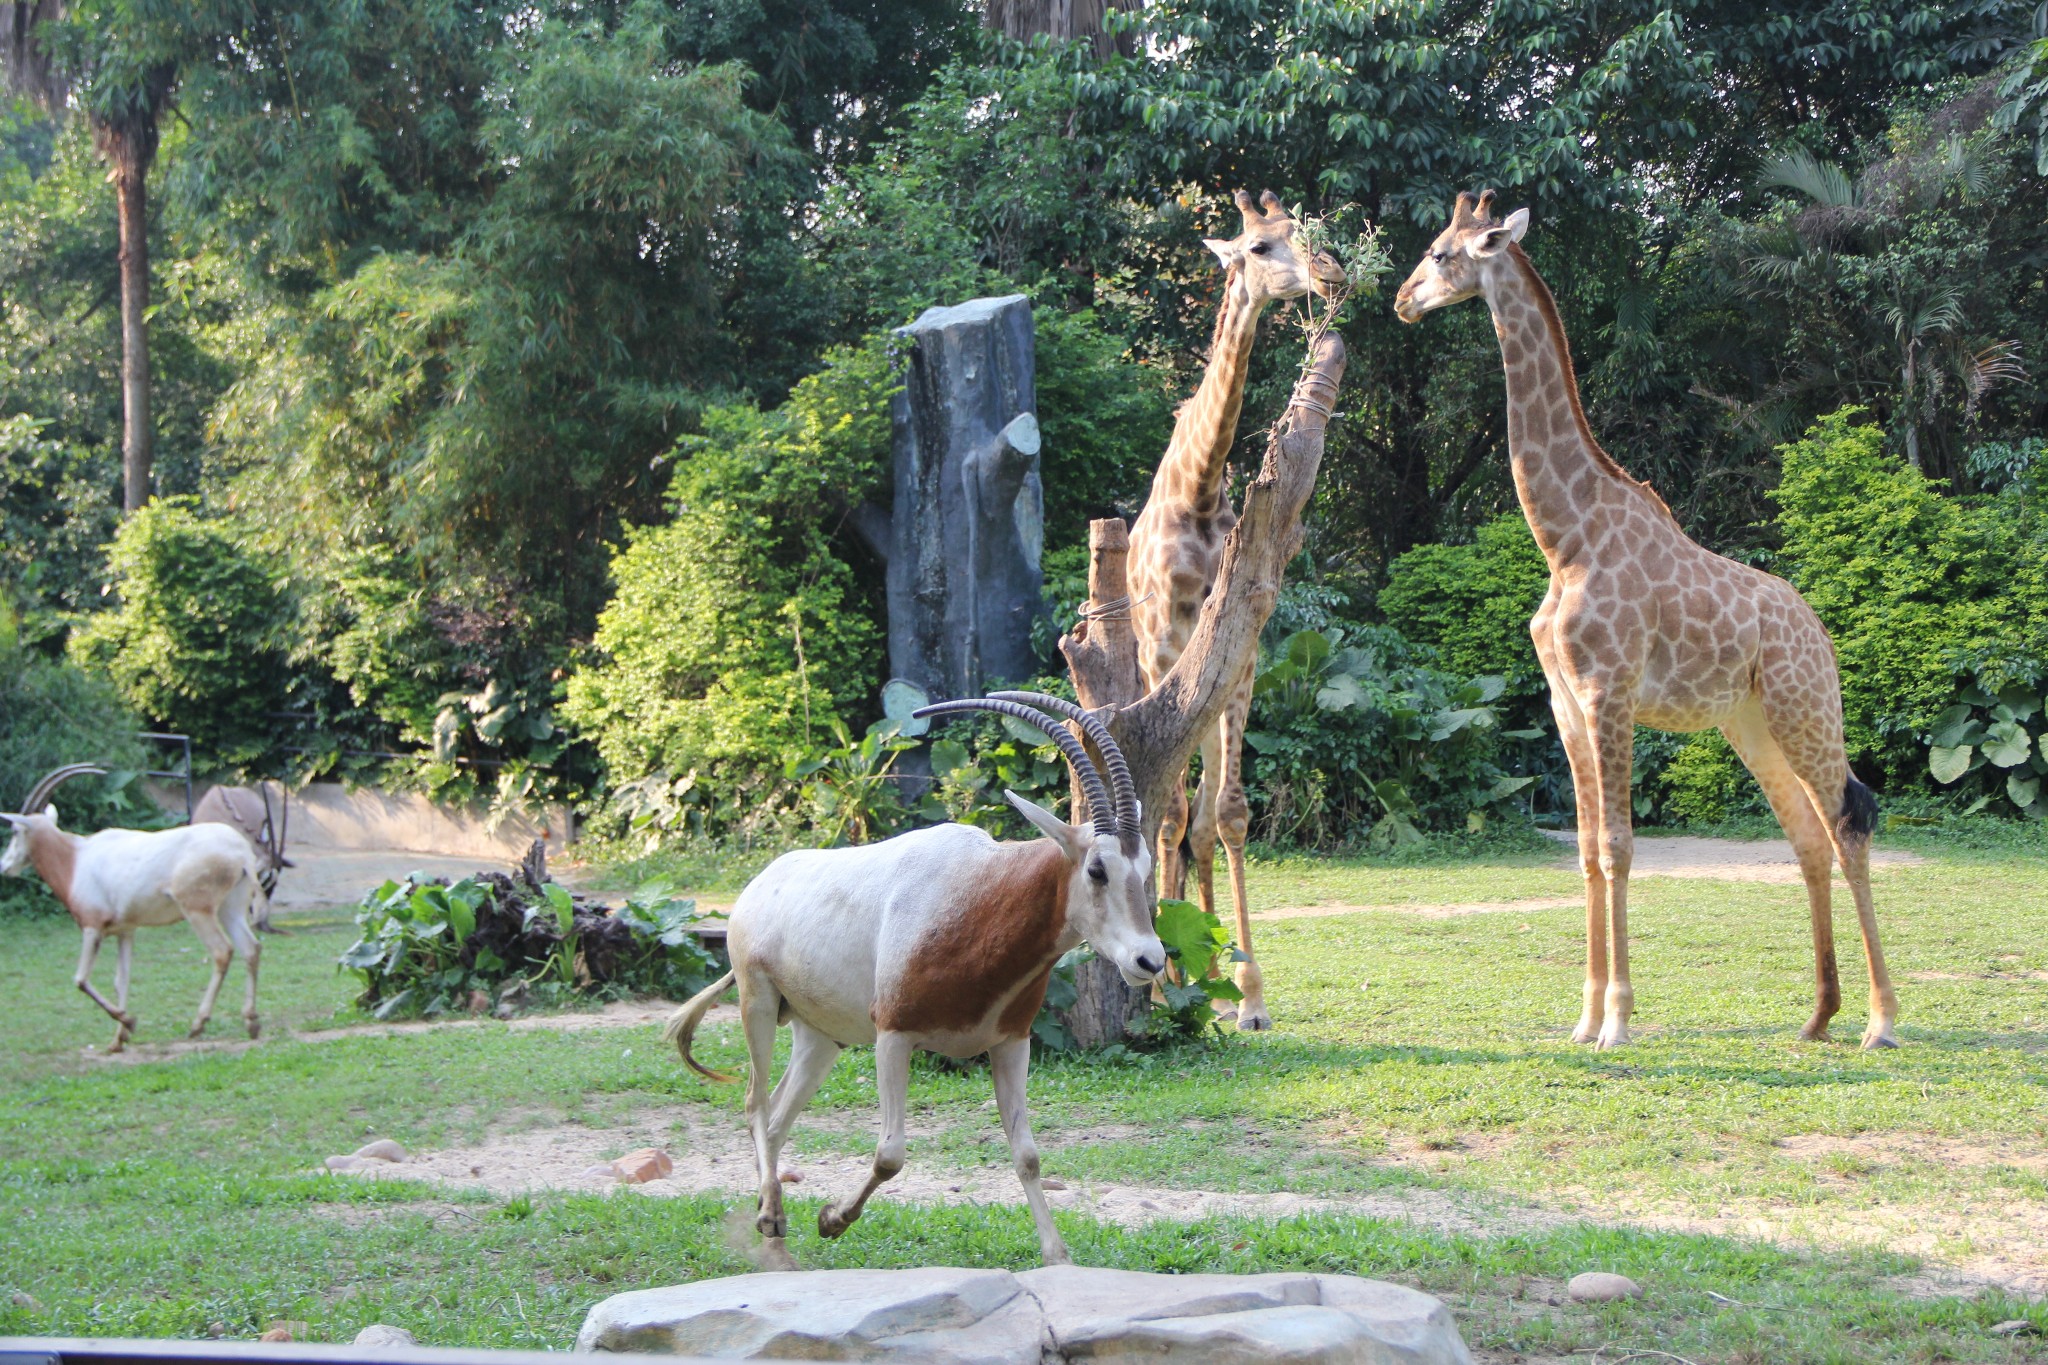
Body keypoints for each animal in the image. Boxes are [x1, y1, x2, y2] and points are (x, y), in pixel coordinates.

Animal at [1122, 187, 1343, 1031]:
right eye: (1257, 245)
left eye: (1307, 229)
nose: (1332, 269)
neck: (1200, 486)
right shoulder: (1163, 647)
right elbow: (1168, 817)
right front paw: (1157, 987)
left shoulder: (1244, 650)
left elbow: (1231, 814)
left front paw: (1247, 995)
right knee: (1172, 818)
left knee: (1204, 824)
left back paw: (1206, 966)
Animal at [1392, 192, 1900, 1055]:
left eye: (1441, 251)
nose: (1402, 300)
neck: (1563, 535)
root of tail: (1821, 632)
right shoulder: (1565, 703)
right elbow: (1589, 853)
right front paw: (1584, 1015)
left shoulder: (1611, 691)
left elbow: (1621, 847)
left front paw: (1619, 1020)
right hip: (1749, 720)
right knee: (1806, 832)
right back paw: (1819, 1014)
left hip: (1805, 709)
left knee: (1847, 821)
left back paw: (1881, 1020)